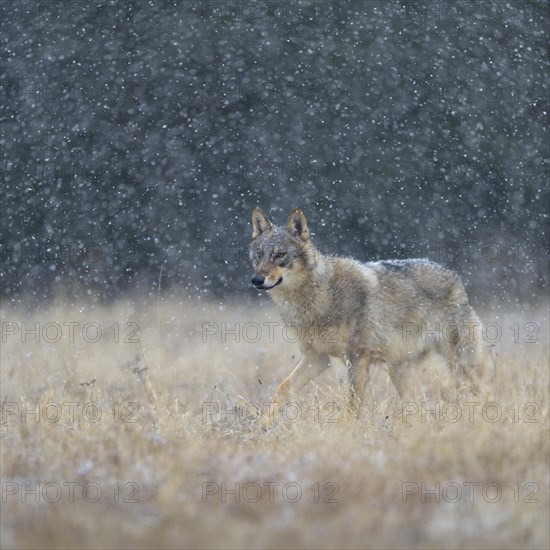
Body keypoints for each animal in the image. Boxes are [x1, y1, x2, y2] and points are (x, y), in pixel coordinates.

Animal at [251, 209, 492, 424]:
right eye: (259, 255)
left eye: (280, 255)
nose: (256, 280)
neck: (319, 296)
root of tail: (456, 278)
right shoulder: (316, 358)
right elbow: (283, 388)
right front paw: (263, 425)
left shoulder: (357, 357)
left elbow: (351, 405)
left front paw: (345, 432)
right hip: (399, 371)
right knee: (419, 407)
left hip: (461, 366)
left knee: (485, 392)